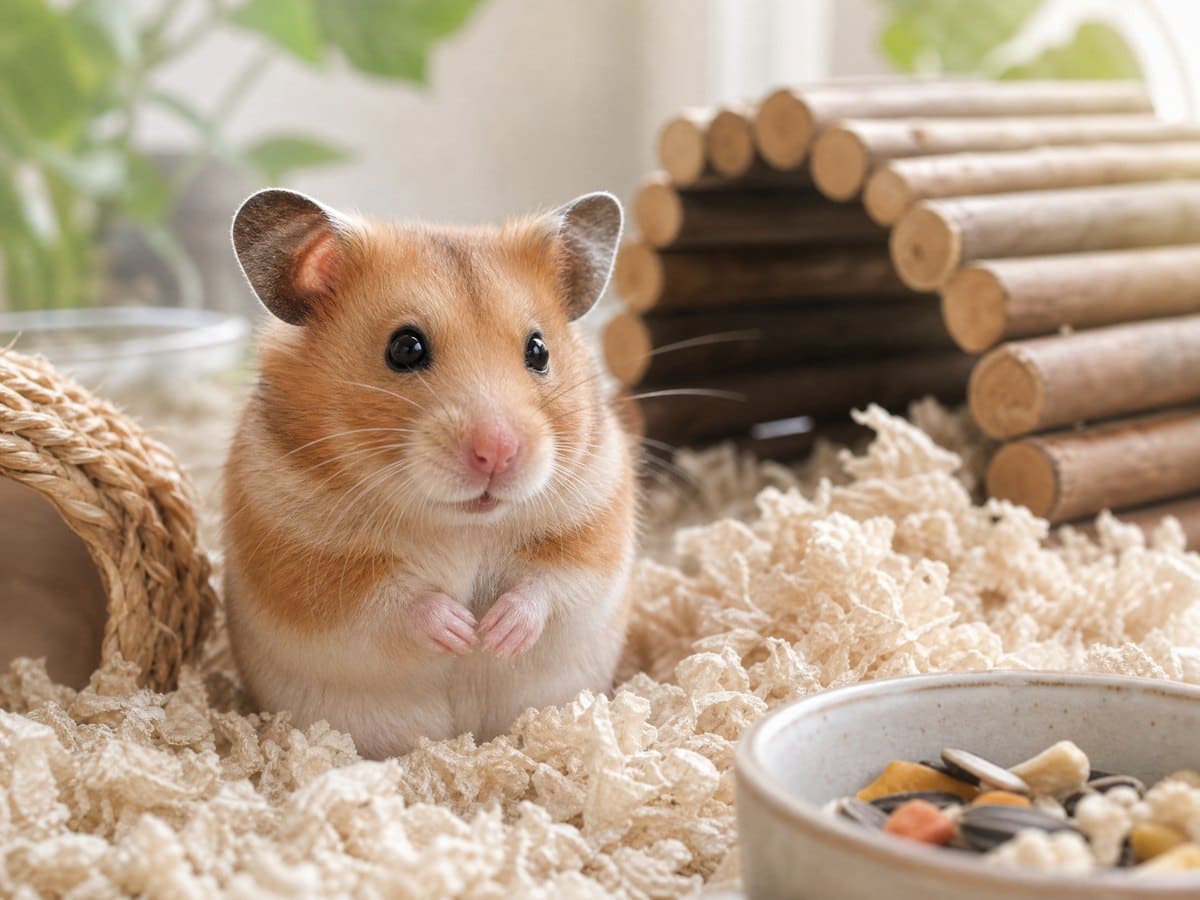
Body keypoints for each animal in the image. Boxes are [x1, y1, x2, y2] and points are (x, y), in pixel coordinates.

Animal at [222, 188, 636, 759]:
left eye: (539, 350)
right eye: (405, 348)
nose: (498, 453)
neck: (461, 525)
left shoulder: (594, 524)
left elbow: (549, 584)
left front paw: (495, 634)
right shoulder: (307, 565)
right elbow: (395, 602)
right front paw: (462, 631)